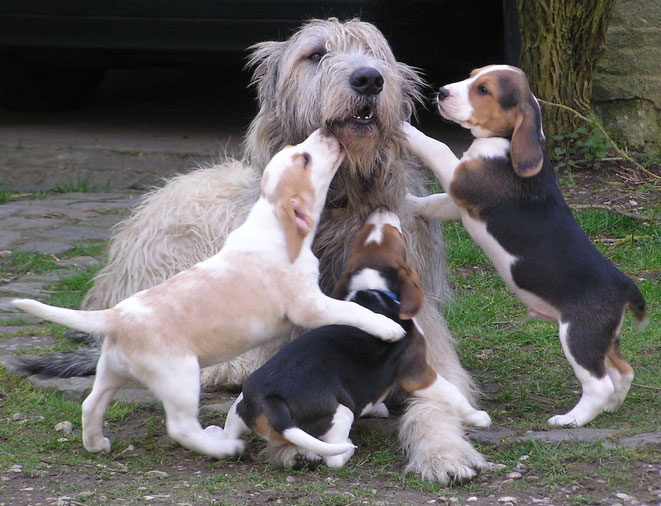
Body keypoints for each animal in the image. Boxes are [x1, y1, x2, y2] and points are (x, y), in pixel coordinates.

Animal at [11, 129, 408, 458]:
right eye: (305, 159)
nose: (326, 129)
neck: (272, 222)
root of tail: (117, 316)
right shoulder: (309, 305)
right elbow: (354, 311)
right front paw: (388, 328)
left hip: (111, 369)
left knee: (91, 405)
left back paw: (97, 444)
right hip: (181, 379)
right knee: (181, 428)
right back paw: (222, 447)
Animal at [219, 208, 488, 468]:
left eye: (364, 233)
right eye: (394, 234)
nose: (381, 209)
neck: (371, 288)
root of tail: (270, 401)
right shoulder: (417, 370)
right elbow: (451, 392)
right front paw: (478, 417)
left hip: (239, 407)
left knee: (227, 435)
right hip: (341, 412)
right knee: (334, 458)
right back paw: (347, 447)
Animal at [402, 64, 644, 426]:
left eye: (484, 90)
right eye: (471, 75)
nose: (442, 92)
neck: (504, 141)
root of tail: (624, 285)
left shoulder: (461, 177)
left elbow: (435, 146)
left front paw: (405, 128)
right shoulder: (458, 202)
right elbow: (433, 203)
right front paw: (408, 202)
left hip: (578, 335)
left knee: (599, 383)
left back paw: (571, 420)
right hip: (602, 339)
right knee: (623, 371)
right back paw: (612, 406)